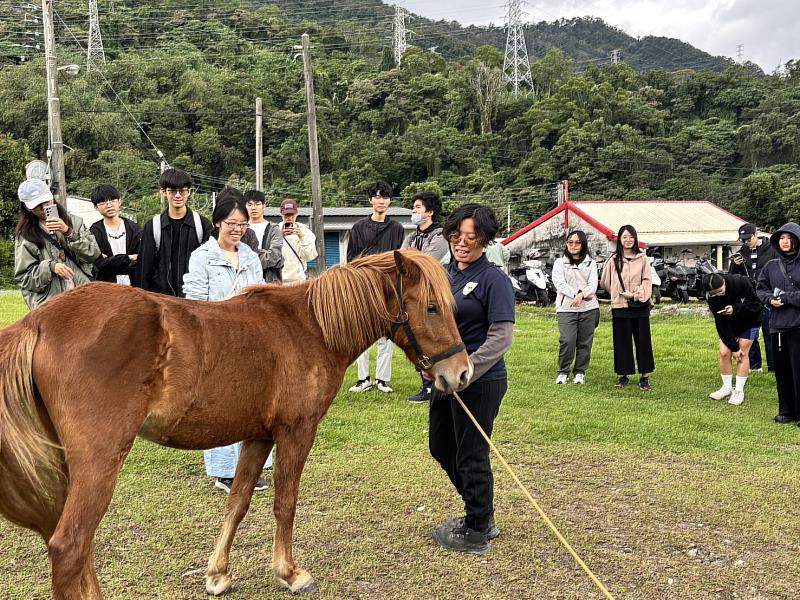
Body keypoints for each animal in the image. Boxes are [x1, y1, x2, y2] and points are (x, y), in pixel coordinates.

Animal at [0, 249, 471, 599]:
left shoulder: (258, 436)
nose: (461, 374)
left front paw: (218, 573)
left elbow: (238, 502)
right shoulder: (296, 431)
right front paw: (289, 572)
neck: (311, 327)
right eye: (431, 307)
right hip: (100, 462)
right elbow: (285, 502)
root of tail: (37, 321)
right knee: (70, 546)